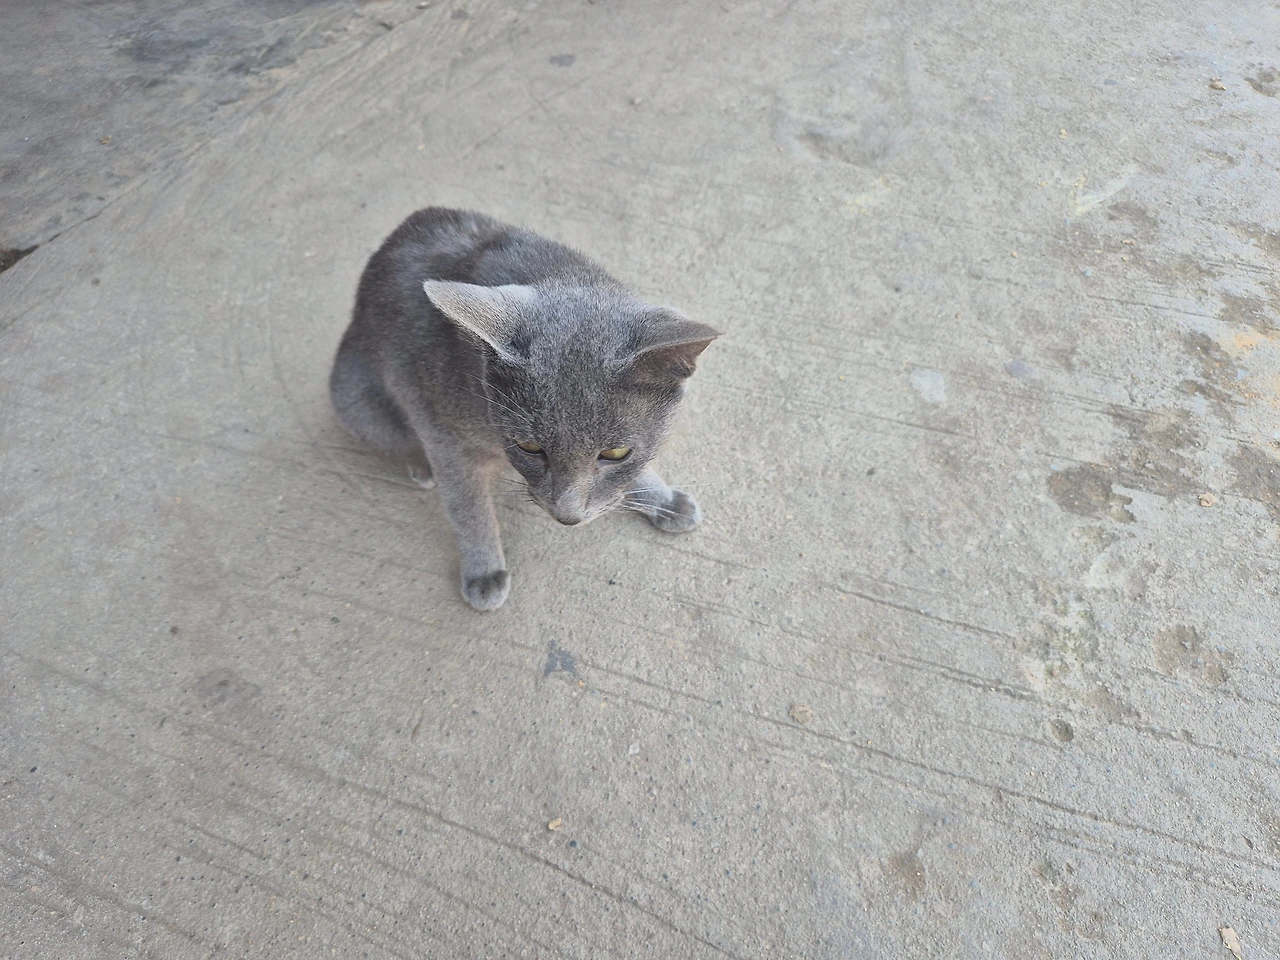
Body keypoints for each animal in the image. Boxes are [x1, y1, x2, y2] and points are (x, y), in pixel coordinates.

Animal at [329, 207, 720, 611]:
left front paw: (665, 500)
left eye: (616, 453)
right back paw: (420, 468)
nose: (567, 517)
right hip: (362, 403)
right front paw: (484, 572)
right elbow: (467, 506)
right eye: (529, 447)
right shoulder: (442, 434)